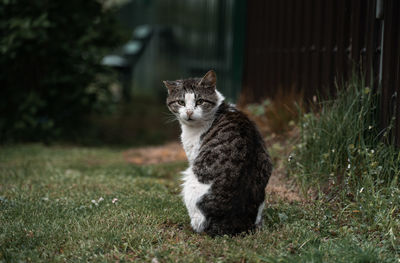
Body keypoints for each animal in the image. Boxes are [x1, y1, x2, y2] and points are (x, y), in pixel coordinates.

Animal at [162, 70, 272, 237]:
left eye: (200, 101)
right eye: (181, 102)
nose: (189, 112)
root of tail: (233, 223)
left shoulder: (193, 154)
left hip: (190, 181)